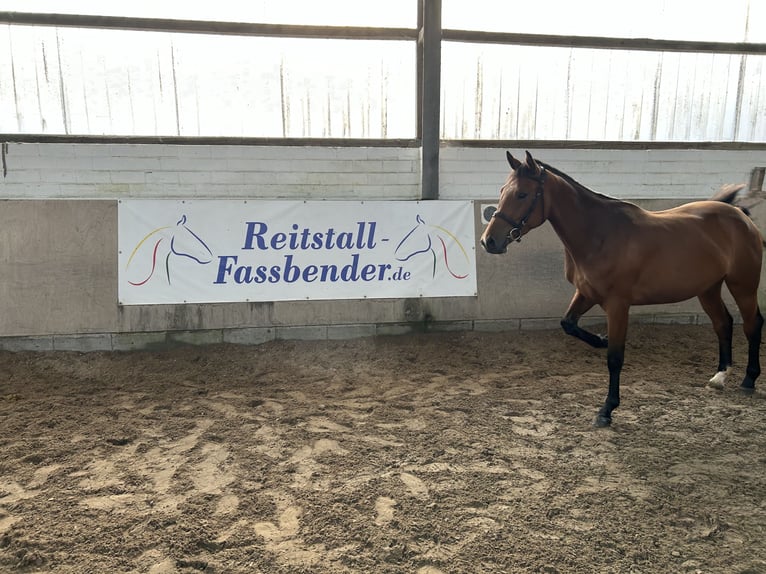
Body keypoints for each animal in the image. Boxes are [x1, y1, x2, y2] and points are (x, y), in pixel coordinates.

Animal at [484, 151, 764, 430]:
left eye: (522, 194)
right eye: (502, 191)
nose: (489, 241)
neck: (599, 234)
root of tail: (741, 216)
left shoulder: (617, 305)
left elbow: (615, 358)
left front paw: (606, 410)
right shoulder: (586, 294)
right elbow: (568, 324)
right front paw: (601, 339)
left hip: (743, 285)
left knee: (752, 324)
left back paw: (748, 381)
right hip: (708, 289)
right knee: (723, 323)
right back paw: (720, 376)